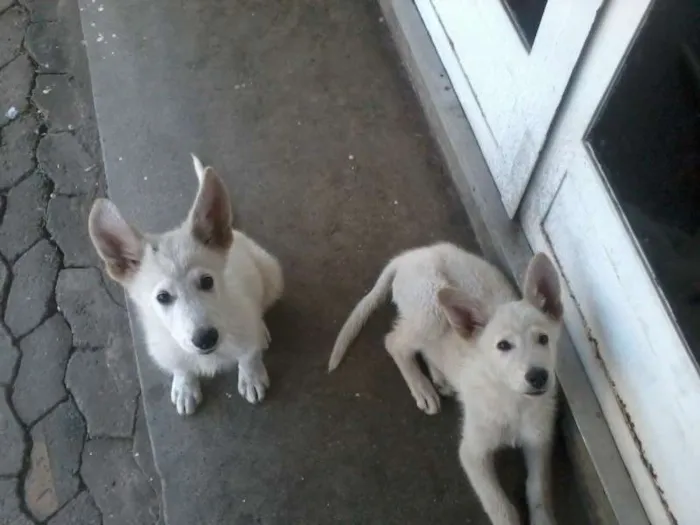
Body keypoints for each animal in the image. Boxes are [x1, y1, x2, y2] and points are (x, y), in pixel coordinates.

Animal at [89, 154, 284, 416]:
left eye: (207, 281)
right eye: (163, 297)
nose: (206, 339)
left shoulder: (244, 328)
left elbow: (248, 356)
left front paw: (251, 377)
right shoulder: (166, 351)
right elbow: (181, 367)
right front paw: (185, 387)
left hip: (271, 273)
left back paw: (261, 330)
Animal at [328, 244, 564, 524]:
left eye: (543, 339)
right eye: (503, 346)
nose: (538, 376)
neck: (513, 399)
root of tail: (408, 256)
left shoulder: (539, 441)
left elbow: (539, 490)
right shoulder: (472, 452)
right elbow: (501, 507)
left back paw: (440, 377)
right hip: (432, 308)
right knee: (395, 342)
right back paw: (422, 387)